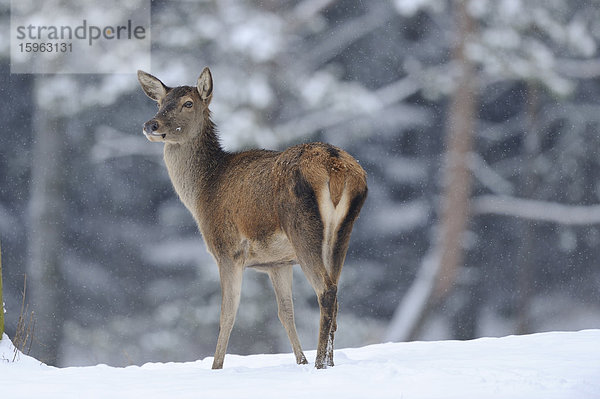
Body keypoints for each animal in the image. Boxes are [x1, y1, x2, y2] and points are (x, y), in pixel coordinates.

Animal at [138, 67, 368, 370]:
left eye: (188, 103)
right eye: (160, 102)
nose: (151, 125)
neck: (203, 193)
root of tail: (337, 167)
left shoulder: (227, 250)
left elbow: (227, 313)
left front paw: (216, 367)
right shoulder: (278, 263)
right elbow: (285, 313)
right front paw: (300, 361)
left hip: (303, 228)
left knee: (326, 291)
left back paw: (320, 363)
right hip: (343, 232)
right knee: (336, 292)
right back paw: (327, 362)